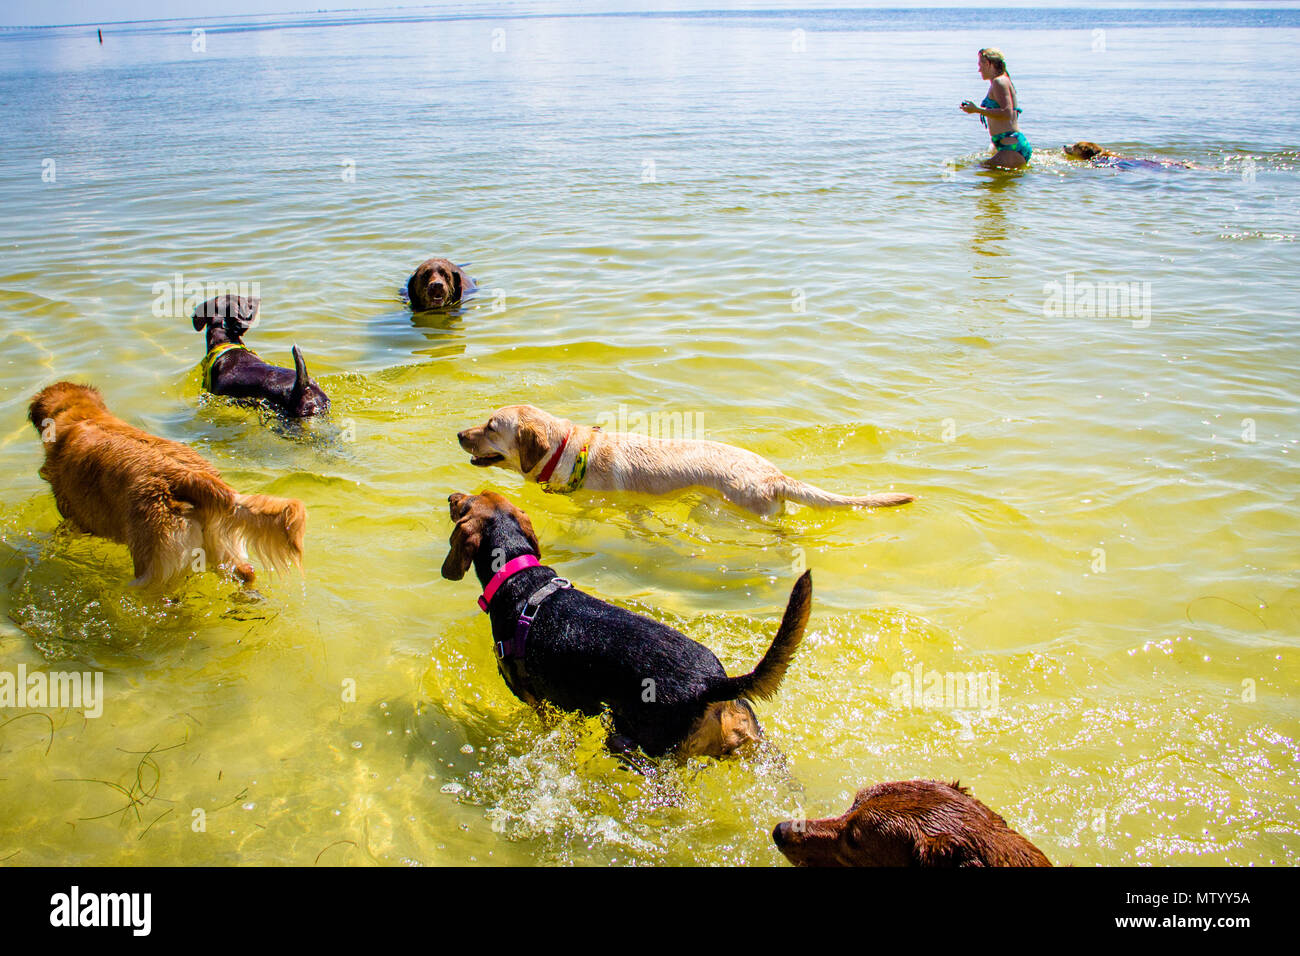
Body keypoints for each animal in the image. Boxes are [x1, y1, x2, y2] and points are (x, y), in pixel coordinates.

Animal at [31, 385, 306, 587]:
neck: (83, 416)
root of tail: (190, 478)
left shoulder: (71, 514)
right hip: (219, 543)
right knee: (245, 572)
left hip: (154, 566)